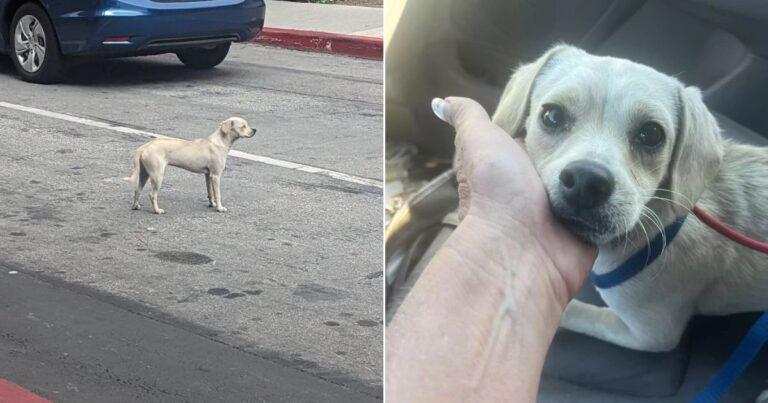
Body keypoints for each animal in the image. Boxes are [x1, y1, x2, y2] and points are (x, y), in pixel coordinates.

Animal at [123, 117, 258, 215]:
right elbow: (218, 194)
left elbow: (210, 192)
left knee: (137, 189)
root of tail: (143, 147)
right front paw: (220, 208)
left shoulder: (208, 175)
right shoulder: (216, 175)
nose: (255, 130)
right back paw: (157, 210)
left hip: (144, 174)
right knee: (152, 194)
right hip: (157, 175)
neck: (219, 142)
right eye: (243, 126)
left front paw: (212, 204)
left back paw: (136, 206)